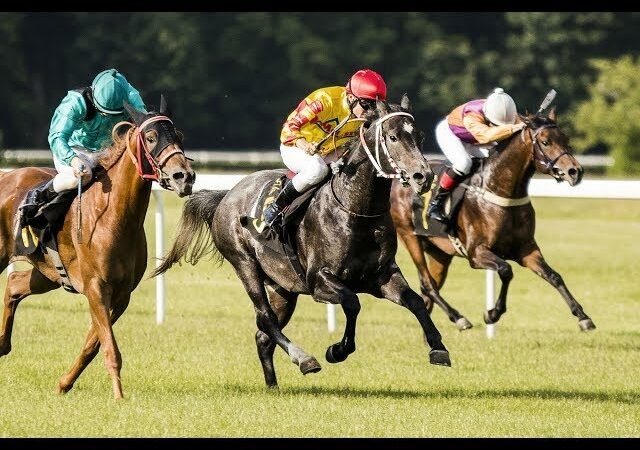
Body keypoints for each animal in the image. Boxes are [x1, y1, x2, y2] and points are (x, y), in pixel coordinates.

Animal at [0, 97, 196, 399]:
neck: (114, 217)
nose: (183, 176)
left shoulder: (122, 295)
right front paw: (119, 396)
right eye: (151, 138)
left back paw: (2, 345)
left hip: (48, 273)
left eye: (180, 136)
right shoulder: (95, 287)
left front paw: (64, 384)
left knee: (14, 284)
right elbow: (110, 348)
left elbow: (93, 344)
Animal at [153, 94, 451, 389]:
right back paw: (304, 359)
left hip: (283, 287)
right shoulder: (319, 280)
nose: (423, 176)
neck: (357, 210)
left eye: (420, 136)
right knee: (266, 318)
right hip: (245, 264)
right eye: (392, 137)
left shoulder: (382, 276)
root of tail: (227, 195)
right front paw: (337, 350)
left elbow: (414, 301)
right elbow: (352, 302)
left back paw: (273, 386)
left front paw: (438, 348)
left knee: (263, 335)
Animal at [390, 108, 596, 332]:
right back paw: (459, 318)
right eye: (546, 141)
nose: (575, 171)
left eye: (565, 139)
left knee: (430, 288)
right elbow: (506, 270)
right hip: (409, 235)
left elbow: (554, 276)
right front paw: (492, 314)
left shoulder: (527, 250)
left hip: (440, 251)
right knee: (427, 284)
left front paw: (583, 317)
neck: (500, 191)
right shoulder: (476, 253)